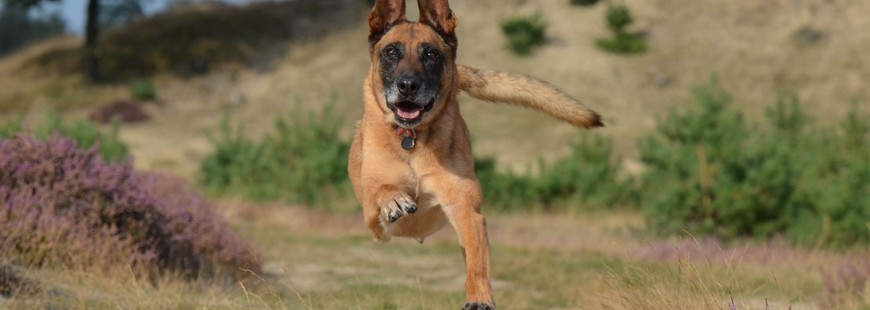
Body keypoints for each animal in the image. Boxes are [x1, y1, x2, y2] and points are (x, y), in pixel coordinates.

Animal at [348, 1, 608, 308]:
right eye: (391, 52)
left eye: (431, 54)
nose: (408, 86)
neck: (412, 140)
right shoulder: (371, 215)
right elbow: (382, 189)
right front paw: (395, 200)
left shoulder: (466, 211)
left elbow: (477, 263)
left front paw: (479, 297)